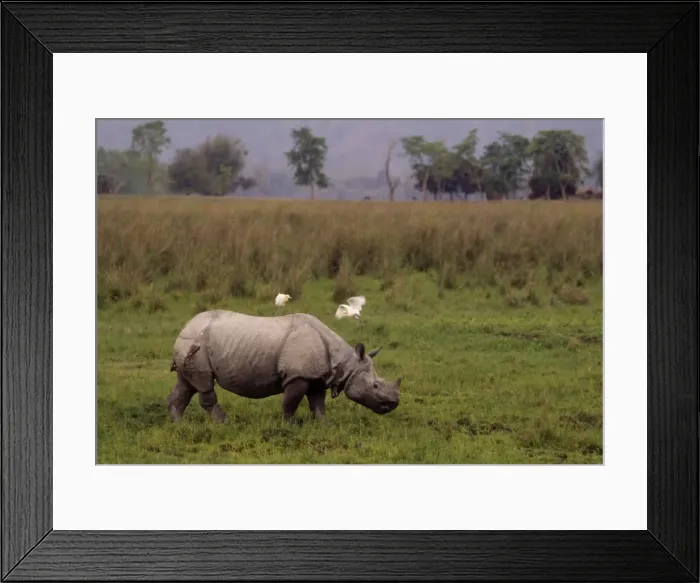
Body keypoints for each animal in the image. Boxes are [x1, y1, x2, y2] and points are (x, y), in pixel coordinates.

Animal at [166, 309, 402, 424]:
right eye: (375, 386)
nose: (393, 404)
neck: (345, 362)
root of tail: (185, 326)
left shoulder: (317, 376)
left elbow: (318, 404)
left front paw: (323, 425)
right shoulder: (298, 375)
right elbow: (291, 403)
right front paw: (288, 425)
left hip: (192, 345)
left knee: (187, 384)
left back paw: (179, 424)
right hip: (195, 343)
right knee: (204, 383)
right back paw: (224, 424)